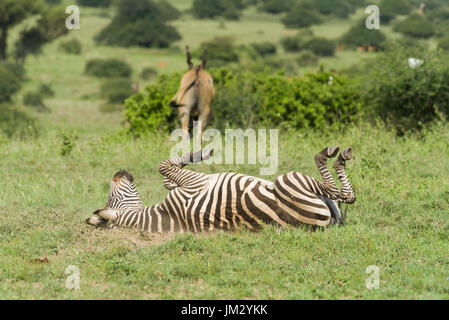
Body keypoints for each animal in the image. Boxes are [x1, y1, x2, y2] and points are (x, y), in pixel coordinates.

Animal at [86, 147, 356, 232]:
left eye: (110, 196)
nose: (120, 171)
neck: (166, 216)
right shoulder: (194, 184)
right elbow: (163, 165)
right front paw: (202, 152)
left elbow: (166, 177)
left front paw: (198, 153)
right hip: (290, 180)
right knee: (344, 194)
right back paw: (335, 156)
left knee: (342, 197)